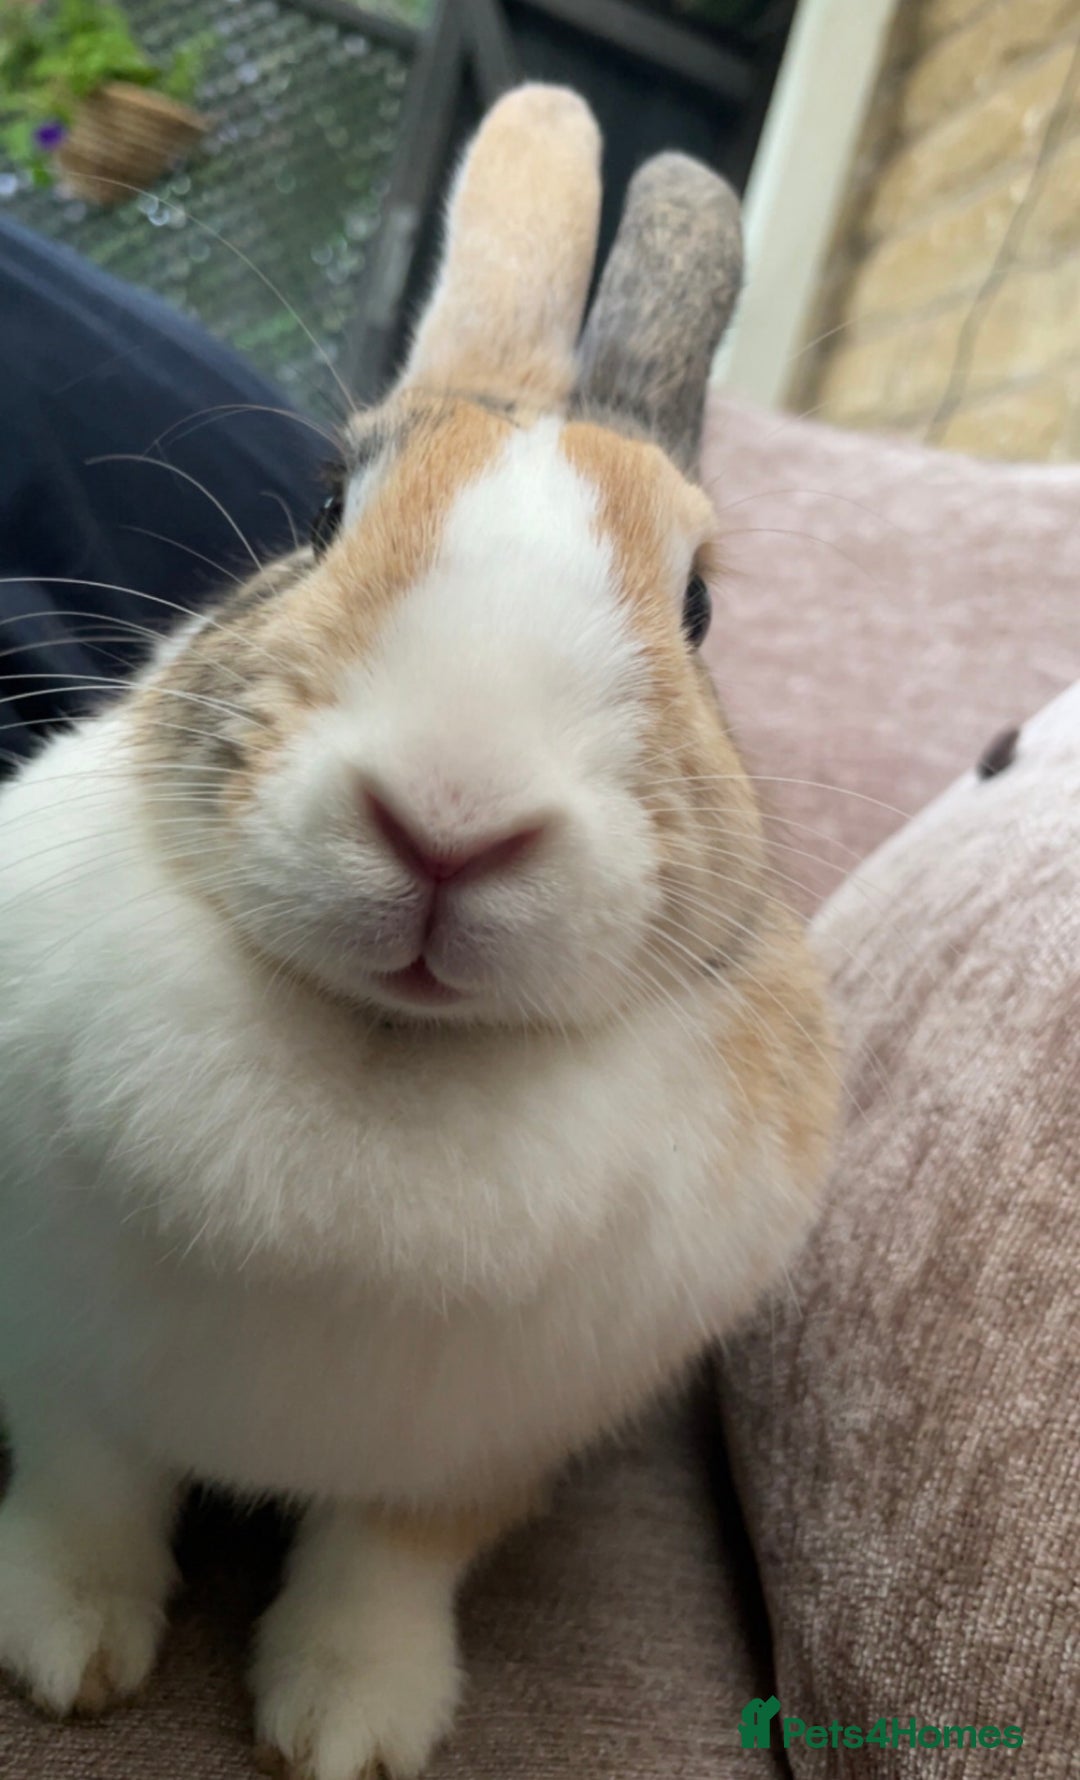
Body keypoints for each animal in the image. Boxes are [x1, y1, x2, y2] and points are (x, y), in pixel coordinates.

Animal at [0, 85, 837, 1780]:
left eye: (701, 607)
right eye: (325, 510)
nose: (452, 816)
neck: (383, 1060)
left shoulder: (479, 1453)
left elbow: (385, 1564)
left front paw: (347, 1726)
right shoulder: (55, 1348)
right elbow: (85, 1489)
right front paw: (62, 1651)